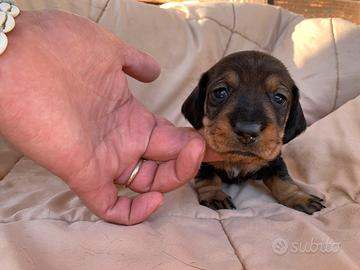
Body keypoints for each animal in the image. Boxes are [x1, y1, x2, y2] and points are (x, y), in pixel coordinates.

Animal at [181, 50, 324, 214]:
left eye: (279, 98)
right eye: (220, 92)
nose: (247, 132)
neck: (238, 159)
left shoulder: (274, 160)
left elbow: (283, 180)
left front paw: (299, 197)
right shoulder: (204, 161)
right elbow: (208, 178)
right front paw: (214, 196)